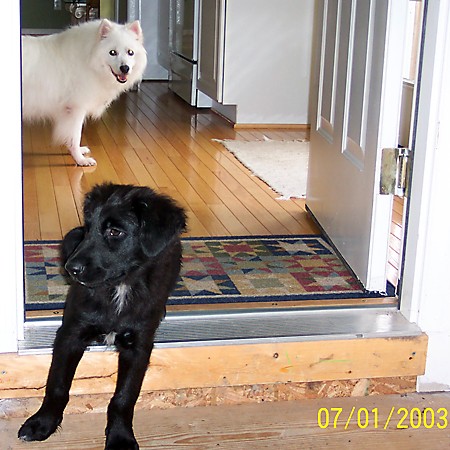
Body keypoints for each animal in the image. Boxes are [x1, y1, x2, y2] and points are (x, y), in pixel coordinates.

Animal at [18, 184, 186, 450]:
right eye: (89, 228)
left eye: (115, 232)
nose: (71, 269)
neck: (119, 287)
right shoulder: (70, 334)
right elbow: (57, 384)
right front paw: (43, 422)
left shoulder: (139, 346)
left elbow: (124, 396)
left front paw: (120, 436)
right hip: (70, 238)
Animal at [22, 19, 147, 165]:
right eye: (112, 52)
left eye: (130, 52)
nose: (125, 68)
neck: (89, 58)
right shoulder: (76, 109)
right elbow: (76, 136)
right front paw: (81, 160)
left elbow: (71, 137)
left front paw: (77, 152)